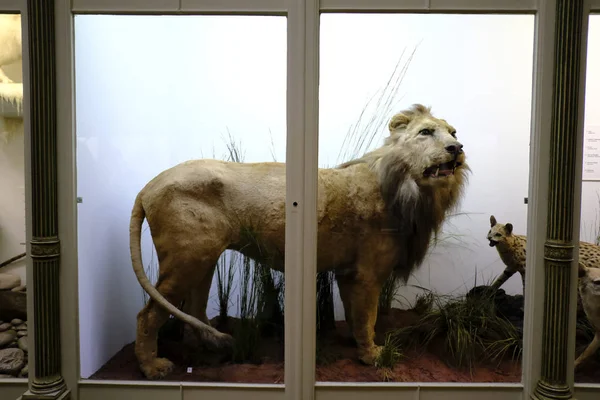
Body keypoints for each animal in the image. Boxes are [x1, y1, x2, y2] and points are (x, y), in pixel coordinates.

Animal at [130, 103, 468, 378]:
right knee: (148, 314)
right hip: (187, 258)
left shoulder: (348, 271)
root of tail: (149, 185)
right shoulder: (367, 273)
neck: (412, 190)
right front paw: (373, 355)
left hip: (204, 258)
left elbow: (354, 312)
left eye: (453, 132)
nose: (457, 148)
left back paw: (215, 344)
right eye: (426, 132)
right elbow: (368, 315)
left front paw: (354, 343)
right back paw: (152, 368)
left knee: (195, 308)